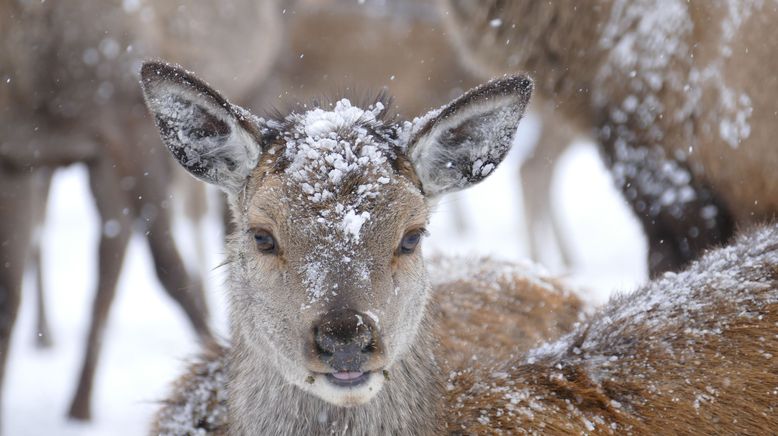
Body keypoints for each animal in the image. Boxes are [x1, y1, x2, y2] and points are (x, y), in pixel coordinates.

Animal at [0, 0, 284, 422]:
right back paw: (79, 404)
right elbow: (8, 295)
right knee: (110, 258)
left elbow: (168, 266)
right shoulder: (16, 158)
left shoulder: (128, 122)